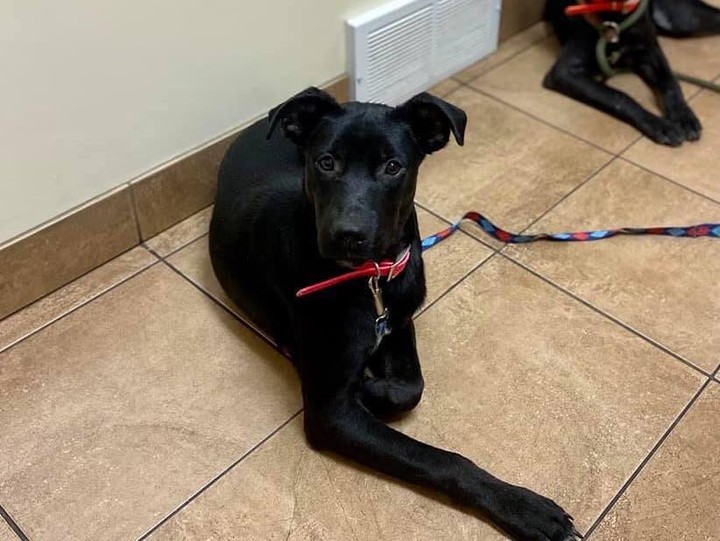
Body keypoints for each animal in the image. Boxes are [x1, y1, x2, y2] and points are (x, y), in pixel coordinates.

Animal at [211, 86, 584, 536]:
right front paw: (522, 507)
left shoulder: (400, 320)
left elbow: (412, 387)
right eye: (326, 162)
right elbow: (441, 459)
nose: (349, 235)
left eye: (393, 167)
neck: (369, 278)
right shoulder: (330, 411)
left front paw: (373, 387)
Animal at [544, 0, 716, 146]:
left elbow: (670, 81)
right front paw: (659, 124)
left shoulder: (650, 52)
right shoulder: (564, 72)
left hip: (680, 19)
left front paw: (683, 115)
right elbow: (619, 97)